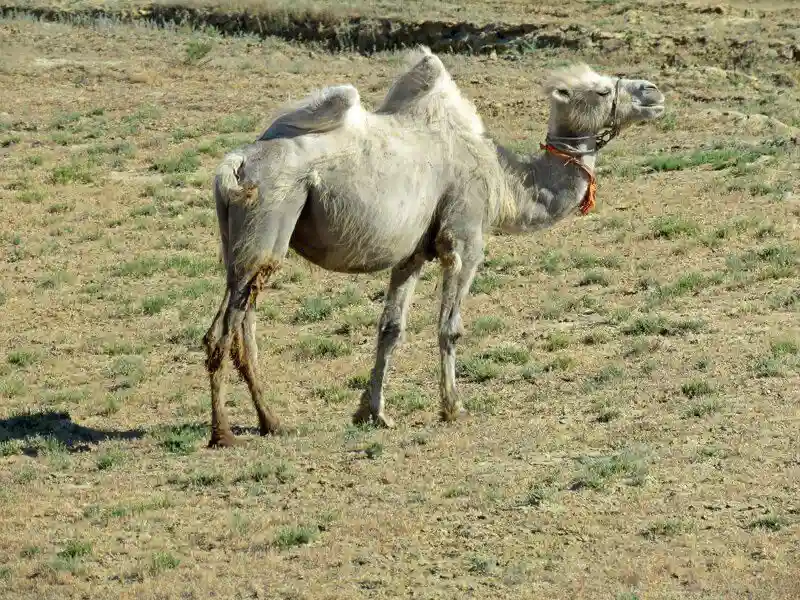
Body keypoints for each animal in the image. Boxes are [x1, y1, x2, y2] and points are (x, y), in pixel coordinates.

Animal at [200, 47, 664, 448]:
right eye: (601, 90)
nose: (654, 93)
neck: (503, 180)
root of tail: (236, 164)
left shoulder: (412, 252)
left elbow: (390, 329)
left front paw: (372, 412)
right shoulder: (464, 237)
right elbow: (449, 326)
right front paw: (453, 408)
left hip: (242, 245)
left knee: (243, 322)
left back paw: (272, 422)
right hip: (272, 216)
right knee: (220, 333)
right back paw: (223, 433)